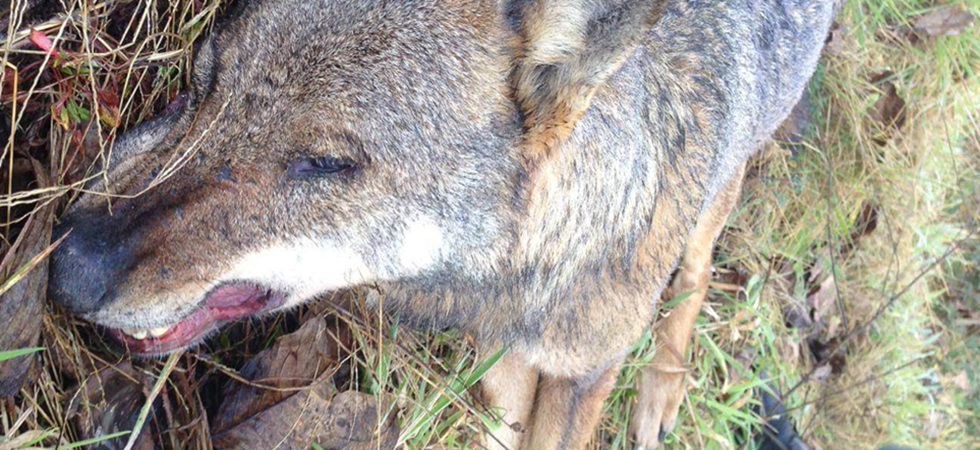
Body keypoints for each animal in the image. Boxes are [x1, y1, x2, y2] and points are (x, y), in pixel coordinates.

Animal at [47, 0, 834, 448]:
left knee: (694, 277)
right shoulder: (497, 351)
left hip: (719, 194)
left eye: (327, 164)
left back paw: (663, 388)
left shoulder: (582, 375)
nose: (67, 268)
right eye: (204, 81)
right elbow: (502, 424)